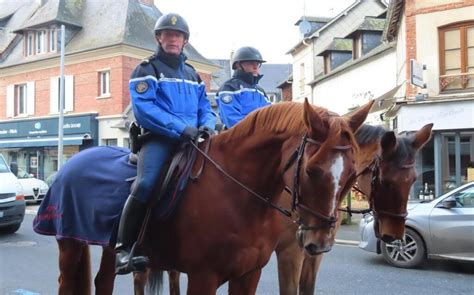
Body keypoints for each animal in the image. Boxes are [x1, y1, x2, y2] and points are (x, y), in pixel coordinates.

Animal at [49, 100, 374, 295]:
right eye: (312, 170)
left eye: (351, 174)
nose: (321, 243)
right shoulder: (203, 277)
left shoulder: (249, 274)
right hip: (70, 244)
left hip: (108, 248)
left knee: (103, 282)